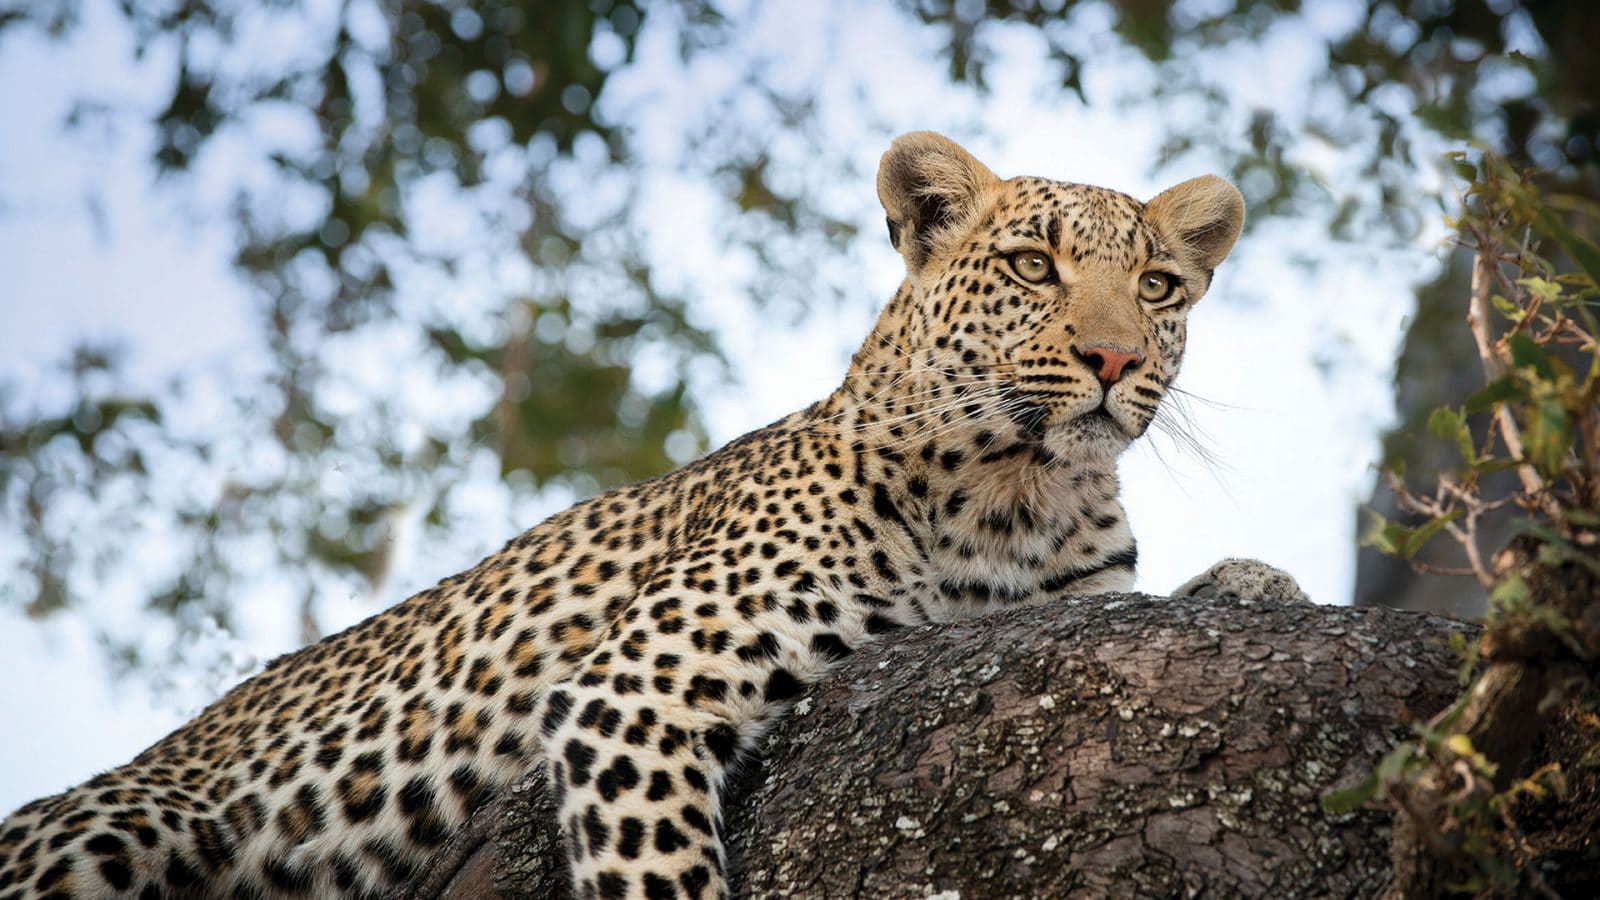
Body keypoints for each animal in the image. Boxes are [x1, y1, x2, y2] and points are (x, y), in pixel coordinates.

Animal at [0, 132, 1305, 896]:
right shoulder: (634, 695)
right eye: (1034, 266)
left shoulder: (1065, 603)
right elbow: (661, 876)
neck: (1019, 494)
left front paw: (1258, 581)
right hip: (129, 822)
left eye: (1158, 286)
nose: (1113, 359)